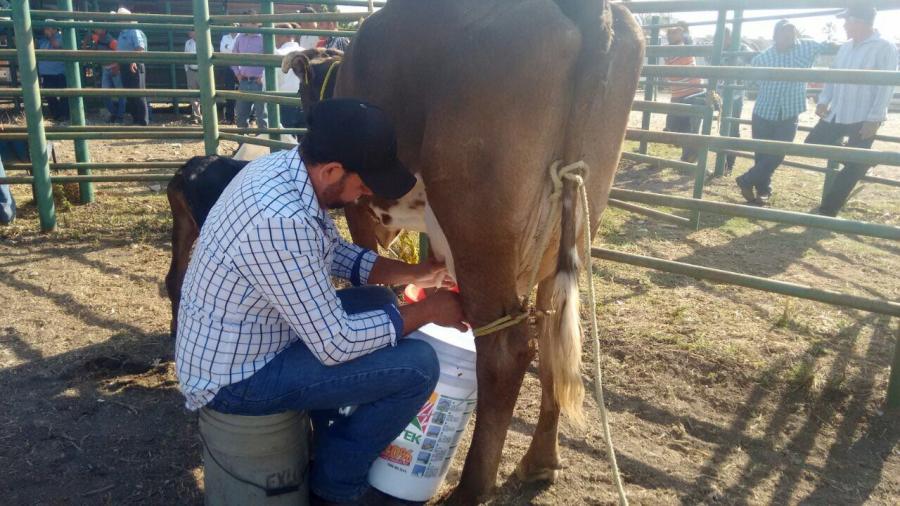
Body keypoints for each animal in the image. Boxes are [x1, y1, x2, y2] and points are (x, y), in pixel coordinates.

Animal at [320, 0, 644, 502]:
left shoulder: (362, 208)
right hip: (569, 228)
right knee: (553, 338)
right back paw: (540, 462)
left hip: (478, 227)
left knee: (505, 353)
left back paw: (470, 490)